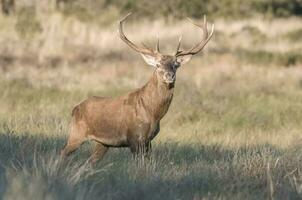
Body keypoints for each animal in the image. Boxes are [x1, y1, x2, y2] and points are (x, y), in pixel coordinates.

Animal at [60, 13, 214, 164]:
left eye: (176, 65)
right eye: (158, 65)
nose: (170, 76)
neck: (153, 113)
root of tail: (74, 109)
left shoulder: (148, 141)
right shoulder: (134, 136)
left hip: (103, 143)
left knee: (90, 162)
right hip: (76, 134)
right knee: (62, 153)